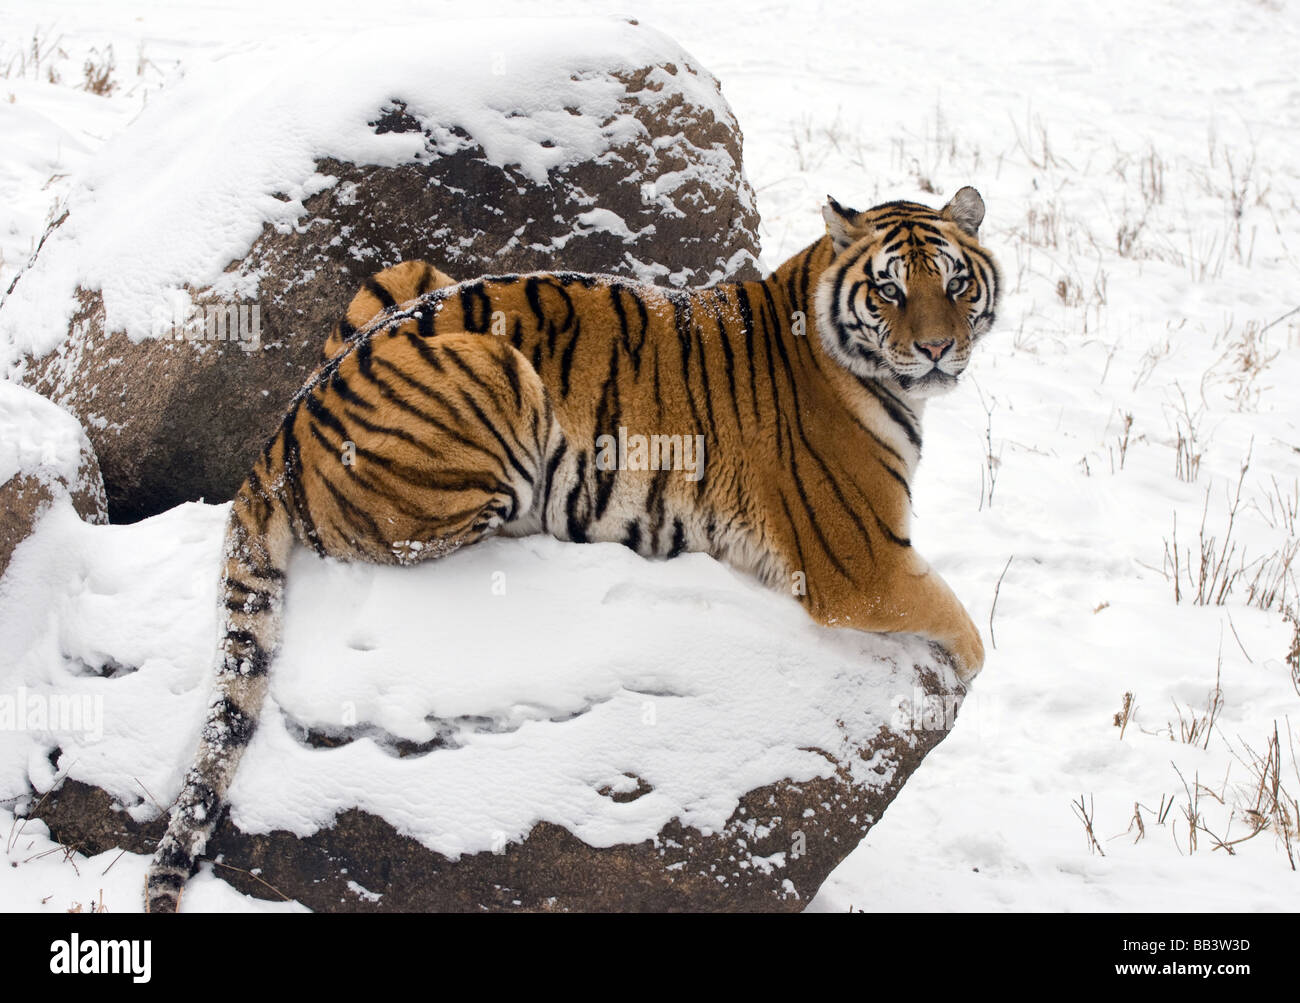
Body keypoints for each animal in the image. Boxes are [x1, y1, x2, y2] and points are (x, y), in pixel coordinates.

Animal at [142, 184, 998, 914]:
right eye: (890, 290)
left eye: (956, 284)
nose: (936, 350)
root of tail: (282, 428)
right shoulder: (860, 563)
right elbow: (968, 628)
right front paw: (963, 678)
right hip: (492, 370)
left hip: (408, 272)